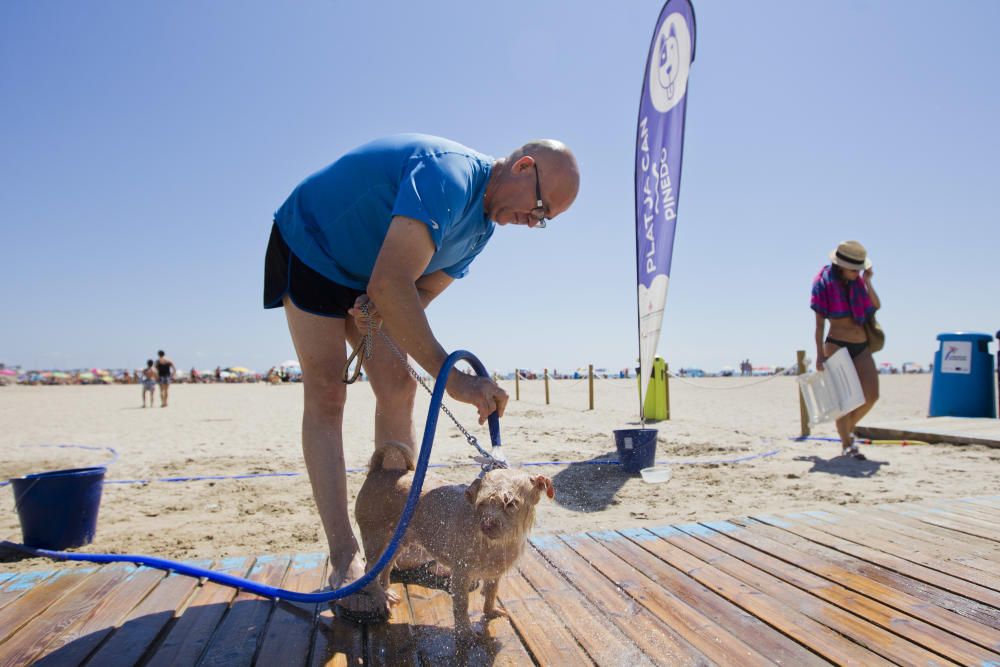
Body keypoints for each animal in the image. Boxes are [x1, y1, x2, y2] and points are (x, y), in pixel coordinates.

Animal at [356, 440, 556, 640]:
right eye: (481, 504)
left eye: (511, 503)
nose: (487, 525)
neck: (492, 543)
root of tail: (377, 471)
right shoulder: (461, 573)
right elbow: (462, 604)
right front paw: (465, 631)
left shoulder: (494, 573)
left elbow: (491, 593)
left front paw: (490, 611)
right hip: (375, 539)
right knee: (369, 570)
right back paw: (379, 597)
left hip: (398, 542)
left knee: (386, 566)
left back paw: (386, 592)